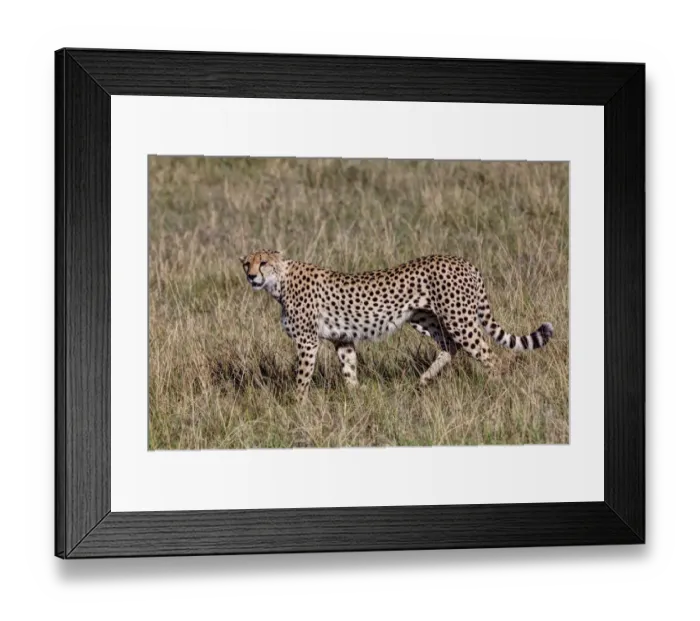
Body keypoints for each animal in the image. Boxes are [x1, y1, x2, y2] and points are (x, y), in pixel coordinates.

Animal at [239, 249, 554, 401]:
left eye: (263, 262)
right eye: (247, 264)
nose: (251, 276)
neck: (279, 282)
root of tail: (464, 261)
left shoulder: (307, 341)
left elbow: (302, 377)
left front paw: (297, 405)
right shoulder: (342, 338)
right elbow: (349, 369)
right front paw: (358, 398)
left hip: (458, 318)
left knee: (488, 354)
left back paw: (495, 388)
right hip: (425, 317)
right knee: (449, 346)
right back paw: (424, 380)